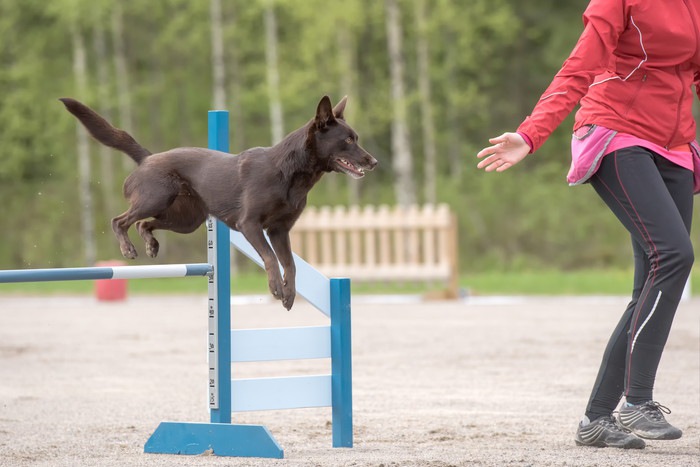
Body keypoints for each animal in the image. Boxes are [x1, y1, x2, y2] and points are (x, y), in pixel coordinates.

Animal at [60, 96, 378, 308]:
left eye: (356, 138)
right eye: (348, 140)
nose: (374, 161)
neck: (290, 173)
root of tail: (148, 157)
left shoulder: (280, 230)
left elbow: (290, 264)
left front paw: (289, 294)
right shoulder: (250, 225)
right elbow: (270, 258)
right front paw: (276, 288)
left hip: (186, 219)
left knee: (143, 224)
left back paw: (152, 245)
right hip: (155, 198)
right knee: (120, 220)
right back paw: (128, 249)